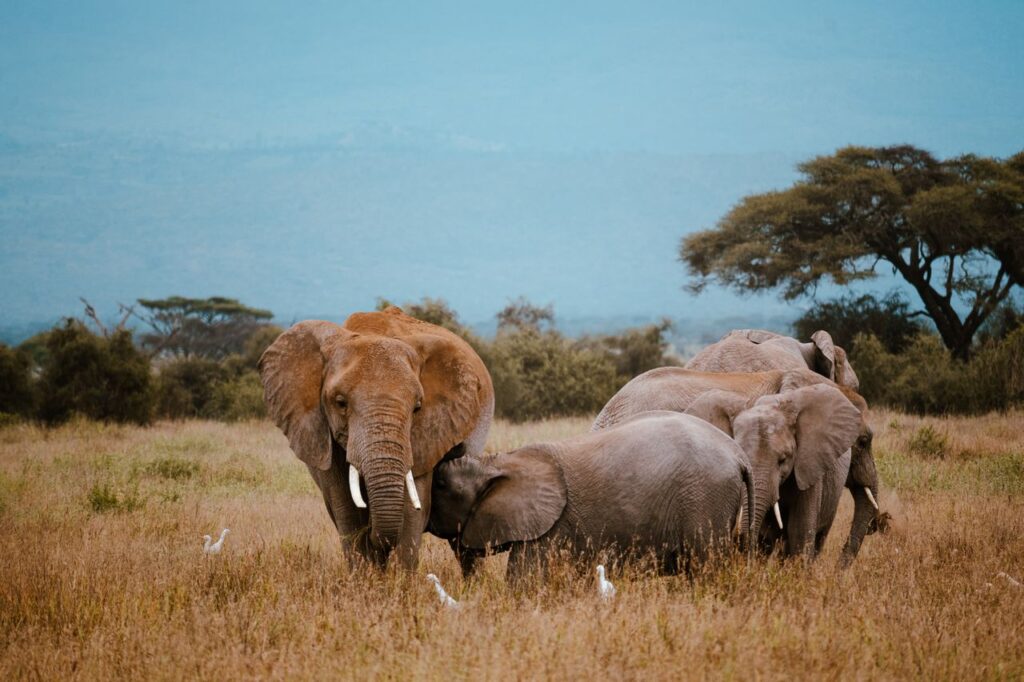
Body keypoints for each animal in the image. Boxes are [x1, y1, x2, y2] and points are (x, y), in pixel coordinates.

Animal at [259, 306, 494, 570]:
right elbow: (348, 511)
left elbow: (411, 512)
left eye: (417, 407)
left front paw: (399, 579)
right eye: (340, 403)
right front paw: (365, 577)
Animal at [428, 411, 755, 583]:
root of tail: (740, 456)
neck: (497, 462)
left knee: (707, 566)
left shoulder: (550, 529)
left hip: (704, 499)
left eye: (441, 485)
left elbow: (525, 581)